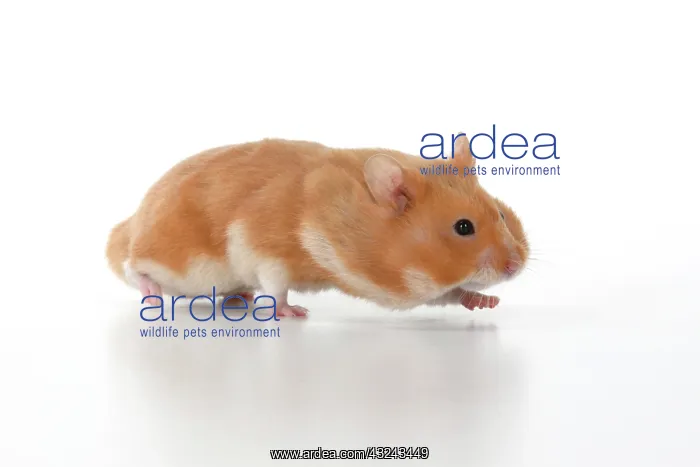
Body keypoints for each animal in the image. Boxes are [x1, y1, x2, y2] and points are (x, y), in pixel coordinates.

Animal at [106, 137, 530, 317]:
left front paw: (486, 303)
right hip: (177, 261)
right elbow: (277, 286)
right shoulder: (262, 248)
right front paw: (293, 312)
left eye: (500, 214)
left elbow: (452, 294)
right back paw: (151, 297)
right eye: (463, 227)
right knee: (133, 266)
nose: (516, 267)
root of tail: (128, 224)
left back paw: (240, 299)